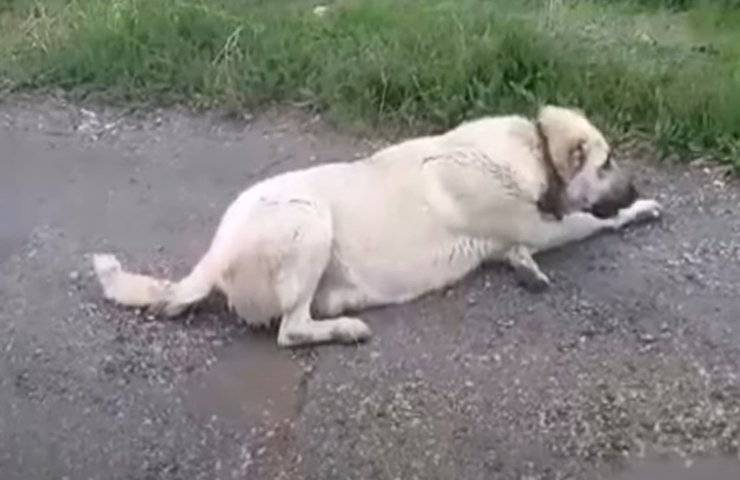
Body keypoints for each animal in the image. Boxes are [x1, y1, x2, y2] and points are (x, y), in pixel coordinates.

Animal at [91, 105, 660, 346]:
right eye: (607, 163)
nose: (633, 189)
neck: (532, 153)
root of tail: (214, 256)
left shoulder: (522, 232)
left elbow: (520, 250)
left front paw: (526, 269)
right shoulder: (541, 226)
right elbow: (588, 221)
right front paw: (641, 209)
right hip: (309, 220)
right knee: (290, 332)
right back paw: (344, 328)